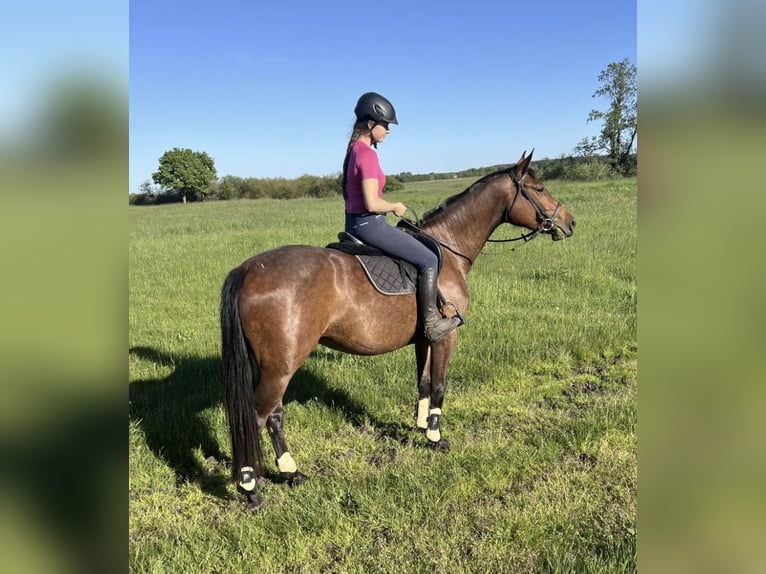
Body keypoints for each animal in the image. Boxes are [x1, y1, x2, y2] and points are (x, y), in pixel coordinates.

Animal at [222, 151, 576, 510]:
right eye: (539, 188)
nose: (570, 222)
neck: (447, 249)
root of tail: (247, 270)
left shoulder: (425, 338)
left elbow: (423, 383)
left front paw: (420, 426)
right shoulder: (447, 336)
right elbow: (439, 386)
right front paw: (435, 437)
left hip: (273, 367)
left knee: (274, 416)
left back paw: (291, 473)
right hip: (280, 367)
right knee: (256, 418)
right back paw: (251, 489)